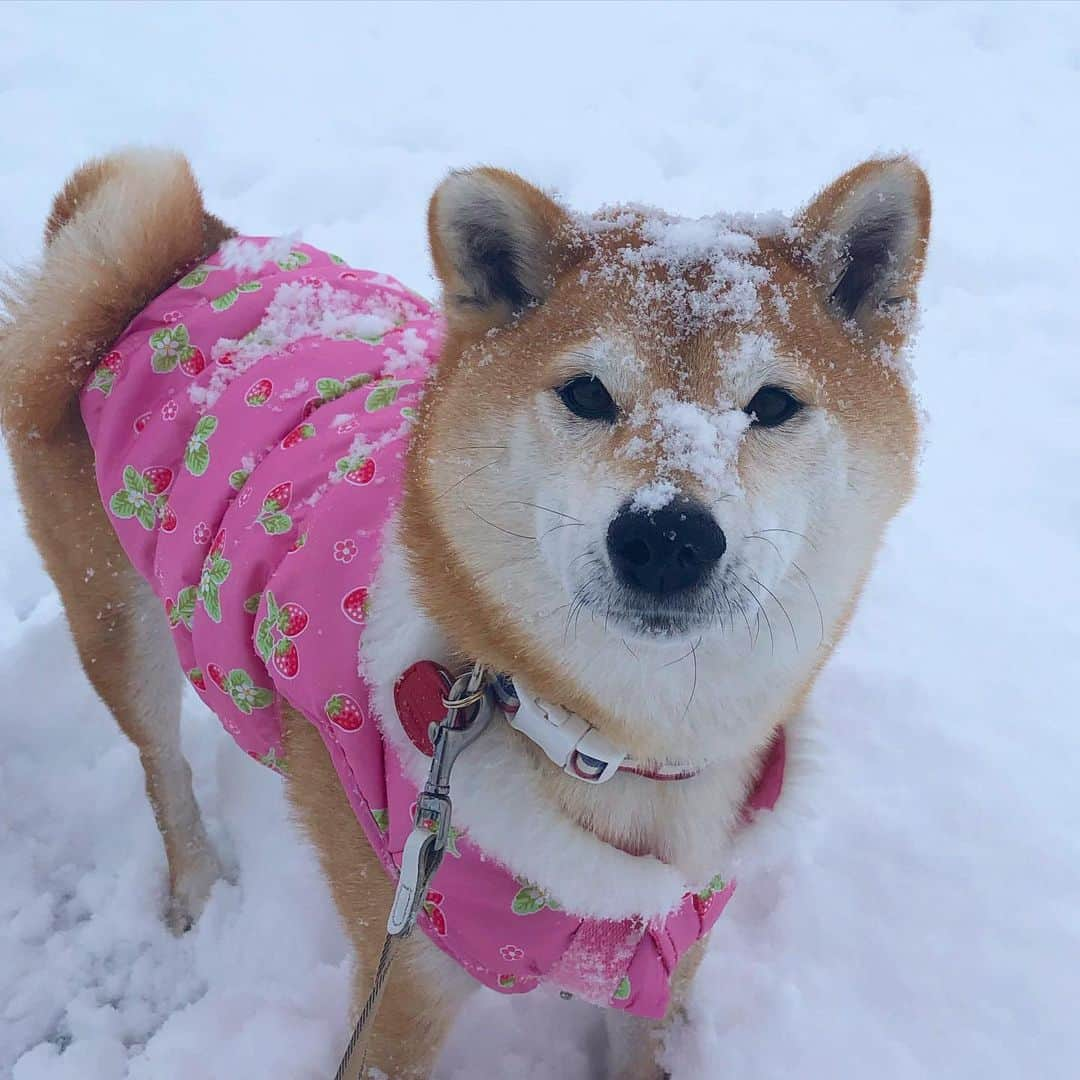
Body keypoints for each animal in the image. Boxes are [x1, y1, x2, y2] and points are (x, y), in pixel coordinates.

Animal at [0, 147, 928, 1075]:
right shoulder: (400, 982)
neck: (616, 750)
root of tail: (194, 251)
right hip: (118, 622)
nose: (666, 535)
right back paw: (195, 883)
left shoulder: (664, 967)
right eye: (587, 393)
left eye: (771, 405)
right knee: (161, 763)